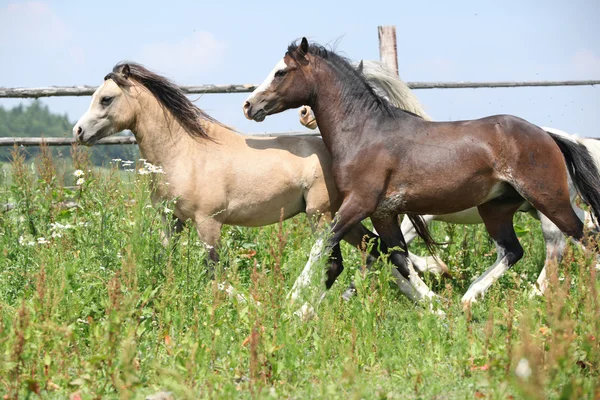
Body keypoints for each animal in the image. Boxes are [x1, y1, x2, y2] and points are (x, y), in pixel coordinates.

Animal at [244, 38, 600, 306]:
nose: (249, 106)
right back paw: (468, 298)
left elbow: (326, 243)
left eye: (280, 72)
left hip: (548, 200)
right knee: (514, 250)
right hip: (497, 208)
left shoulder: (359, 204)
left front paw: (292, 300)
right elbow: (396, 257)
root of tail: (549, 136)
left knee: (580, 239)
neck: (365, 133)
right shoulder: (384, 213)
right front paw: (433, 302)